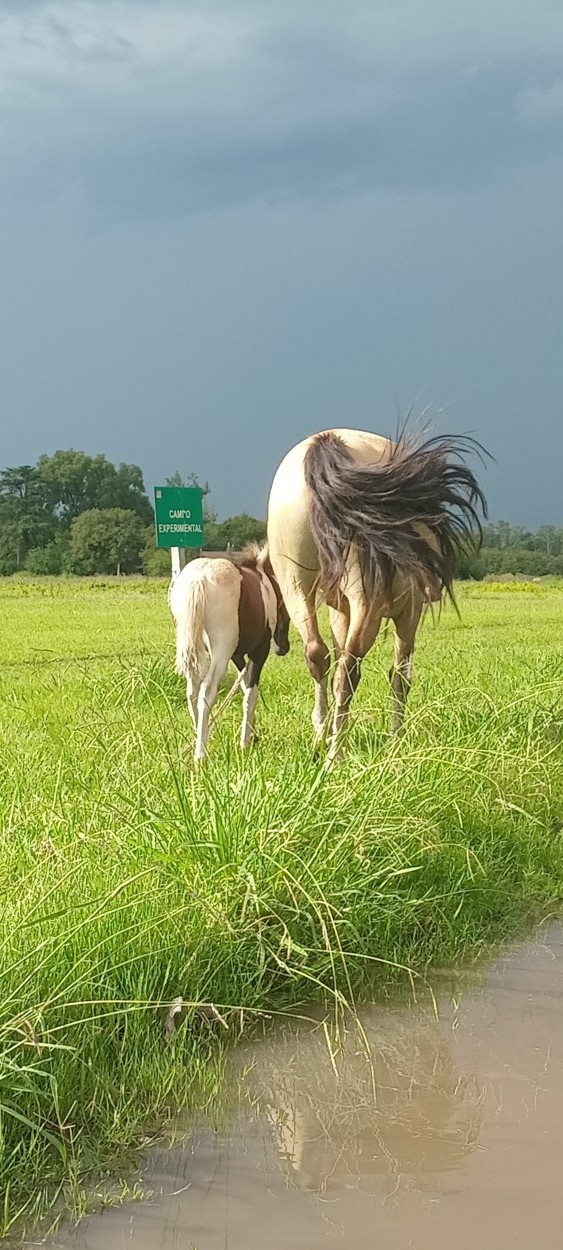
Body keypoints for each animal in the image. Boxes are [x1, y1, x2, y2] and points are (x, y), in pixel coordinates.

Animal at [168, 545, 287, 760]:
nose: (283, 648)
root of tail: (199, 578)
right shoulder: (258, 652)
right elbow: (251, 692)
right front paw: (245, 743)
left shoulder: (237, 655)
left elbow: (244, 686)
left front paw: (253, 735)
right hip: (221, 651)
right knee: (207, 690)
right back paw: (200, 755)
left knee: (192, 692)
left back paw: (200, 739)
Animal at [266, 427, 485, 760]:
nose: (278, 646)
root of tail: (326, 442)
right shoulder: (409, 614)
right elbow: (400, 675)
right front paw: (396, 738)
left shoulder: (339, 612)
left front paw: (333, 732)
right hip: (367, 603)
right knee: (349, 670)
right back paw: (335, 755)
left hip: (297, 589)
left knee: (318, 656)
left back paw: (322, 741)